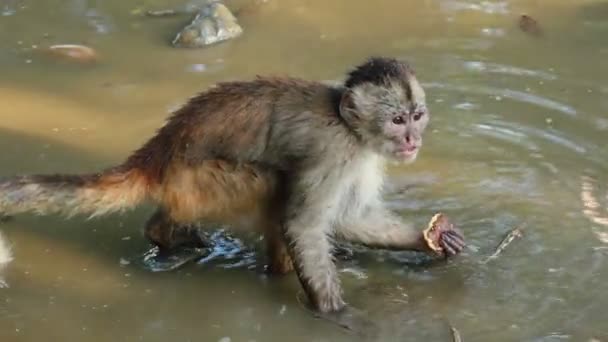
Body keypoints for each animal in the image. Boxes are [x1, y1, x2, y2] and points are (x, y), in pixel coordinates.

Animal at [0, 56, 466, 316]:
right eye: (397, 120)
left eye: (417, 115)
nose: (413, 139)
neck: (349, 127)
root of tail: (158, 150)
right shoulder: (335, 153)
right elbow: (303, 225)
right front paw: (334, 312)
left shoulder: (362, 156)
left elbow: (350, 217)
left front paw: (429, 238)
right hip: (196, 180)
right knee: (274, 185)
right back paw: (167, 233)